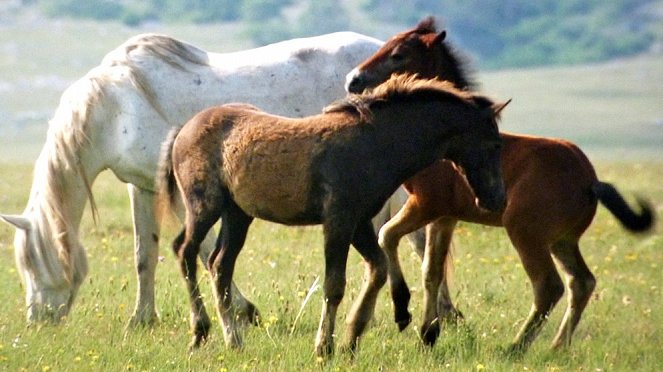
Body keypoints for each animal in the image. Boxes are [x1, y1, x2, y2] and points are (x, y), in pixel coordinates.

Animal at [0, 30, 384, 324]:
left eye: (32, 265)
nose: (37, 322)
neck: (116, 109)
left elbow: (203, 249)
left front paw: (243, 311)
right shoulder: (142, 188)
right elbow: (145, 254)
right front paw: (142, 320)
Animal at [157, 75, 508, 358]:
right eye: (494, 143)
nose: (497, 200)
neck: (375, 144)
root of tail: (182, 129)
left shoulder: (360, 222)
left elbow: (378, 269)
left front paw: (351, 339)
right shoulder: (338, 220)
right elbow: (334, 284)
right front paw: (324, 347)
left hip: (238, 214)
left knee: (219, 264)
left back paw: (234, 341)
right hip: (205, 206)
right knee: (186, 252)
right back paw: (200, 333)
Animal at [344, 17, 656, 354]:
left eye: (398, 54)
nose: (353, 79)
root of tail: (590, 179)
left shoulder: (425, 205)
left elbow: (388, 237)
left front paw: (404, 313)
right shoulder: (444, 217)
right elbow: (432, 271)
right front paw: (428, 333)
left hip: (525, 231)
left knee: (549, 286)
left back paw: (515, 347)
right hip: (562, 240)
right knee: (582, 282)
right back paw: (556, 346)